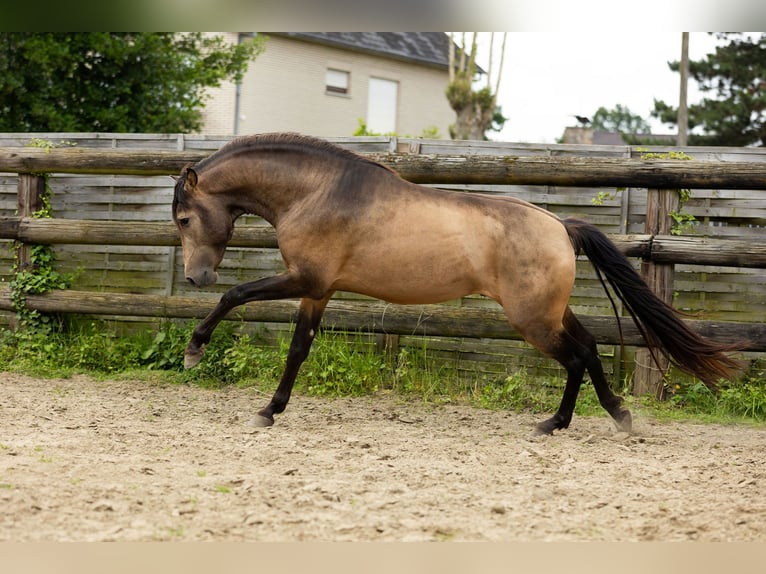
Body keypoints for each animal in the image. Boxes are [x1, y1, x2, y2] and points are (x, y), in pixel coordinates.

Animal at [171, 133, 748, 434]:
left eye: (182, 218)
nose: (197, 275)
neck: (318, 192)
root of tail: (562, 226)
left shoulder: (304, 278)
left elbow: (236, 295)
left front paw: (194, 350)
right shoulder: (318, 290)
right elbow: (297, 350)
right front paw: (270, 410)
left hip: (532, 320)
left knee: (577, 356)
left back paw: (567, 422)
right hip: (549, 313)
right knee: (588, 349)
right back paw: (603, 416)